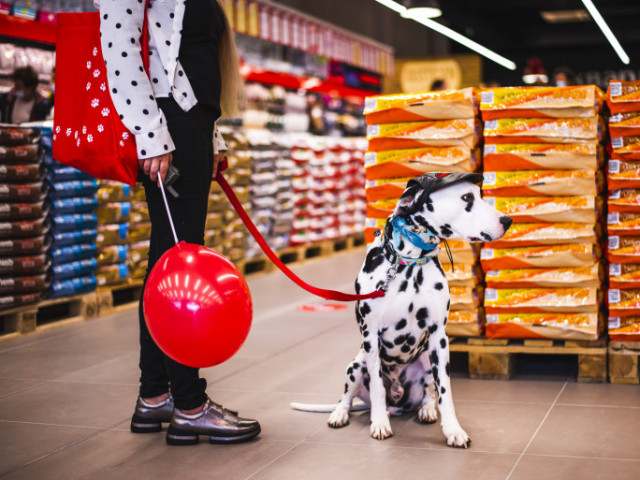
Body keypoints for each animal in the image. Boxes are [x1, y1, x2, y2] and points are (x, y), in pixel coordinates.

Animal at [292, 172, 512, 446]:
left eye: (479, 195)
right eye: (466, 197)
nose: (508, 220)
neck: (410, 262)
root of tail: (396, 403)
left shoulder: (439, 337)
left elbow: (445, 391)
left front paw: (453, 430)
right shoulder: (371, 337)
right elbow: (377, 386)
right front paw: (379, 424)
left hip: (427, 358)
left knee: (428, 392)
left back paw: (426, 409)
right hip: (356, 364)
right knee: (348, 396)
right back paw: (343, 414)